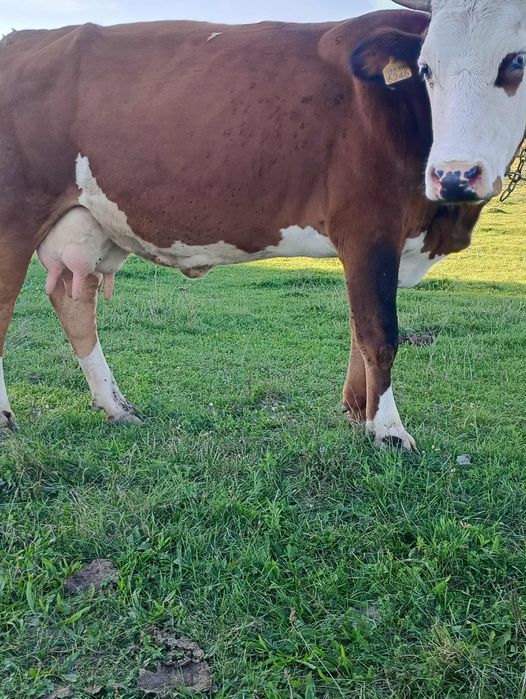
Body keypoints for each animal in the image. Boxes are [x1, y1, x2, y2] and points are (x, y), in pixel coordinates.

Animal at [0, 8, 485, 451]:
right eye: (427, 69)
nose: (459, 173)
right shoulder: (370, 228)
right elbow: (378, 332)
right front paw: (388, 431)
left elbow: (358, 326)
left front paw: (356, 411)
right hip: (15, 218)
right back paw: (7, 416)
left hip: (86, 222)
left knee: (73, 302)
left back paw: (116, 406)